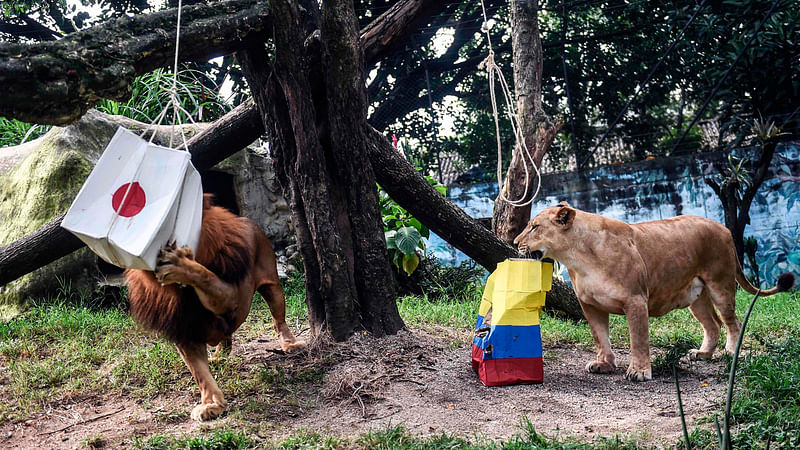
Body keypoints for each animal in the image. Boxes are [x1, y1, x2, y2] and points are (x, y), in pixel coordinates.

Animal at [126, 194, 304, 422]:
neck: (179, 292)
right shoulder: (185, 330)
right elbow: (200, 374)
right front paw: (212, 405)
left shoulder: (232, 299)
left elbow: (206, 277)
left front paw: (180, 264)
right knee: (227, 337)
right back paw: (219, 355)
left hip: (272, 287)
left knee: (278, 320)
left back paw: (291, 344)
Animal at [512, 202, 792, 382]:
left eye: (534, 227)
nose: (515, 243)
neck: (577, 256)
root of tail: (723, 228)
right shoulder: (590, 305)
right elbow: (600, 336)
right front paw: (604, 364)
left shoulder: (635, 300)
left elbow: (638, 339)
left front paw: (639, 372)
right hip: (696, 296)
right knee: (713, 324)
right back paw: (702, 354)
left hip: (720, 284)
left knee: (732, 322)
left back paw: (731, 352)